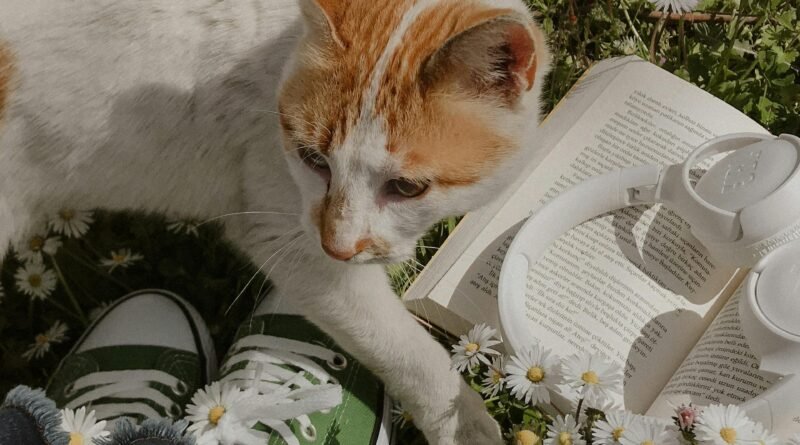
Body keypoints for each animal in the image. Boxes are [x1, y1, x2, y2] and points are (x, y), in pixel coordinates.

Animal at [0, 1, 552, 442]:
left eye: (407, 188)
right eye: (311, 158)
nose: (339, 247)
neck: (277, 49)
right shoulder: (288, 236)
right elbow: (405, 349)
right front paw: (462, 422)